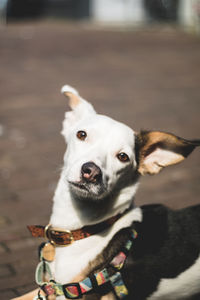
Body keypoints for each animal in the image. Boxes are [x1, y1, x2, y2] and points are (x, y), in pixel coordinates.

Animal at [14, 85, 200, 300]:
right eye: (81, 135)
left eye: (123, 157)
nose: (91, 172)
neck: (81, 230)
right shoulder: (49, 287)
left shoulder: (70, 292)